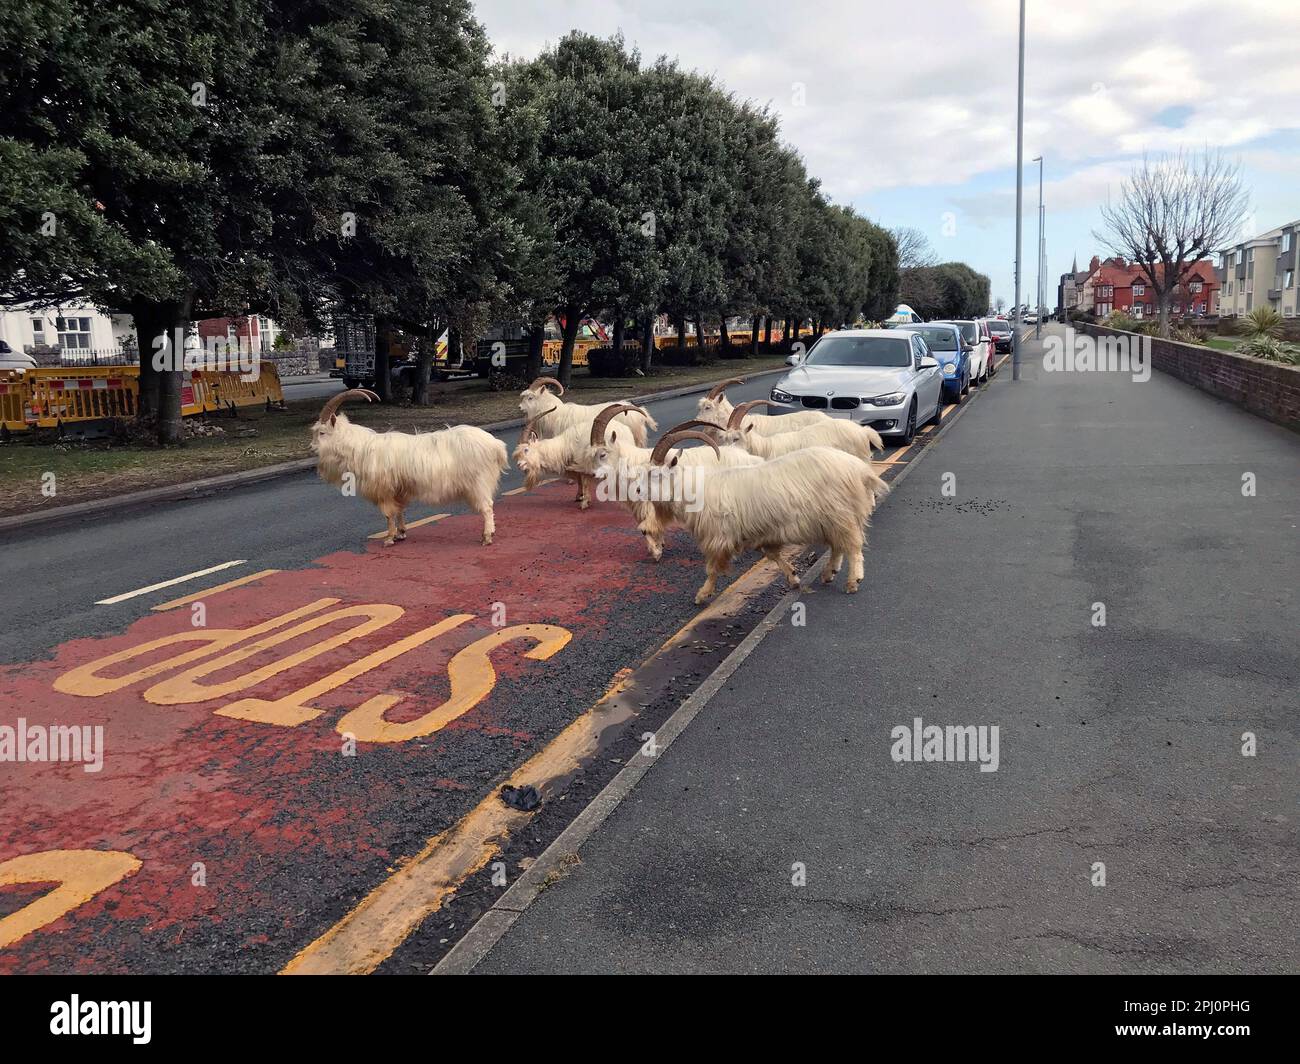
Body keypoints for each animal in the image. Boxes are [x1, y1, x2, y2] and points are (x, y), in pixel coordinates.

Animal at [312, 385, 509, 543]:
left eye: (322, 432)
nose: (312, 448)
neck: (361, 449)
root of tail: (496, 446)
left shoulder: (384, 490)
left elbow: (388, 514)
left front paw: (389, 539)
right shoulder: (399, 489)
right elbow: (399, 511)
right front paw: (401, 533)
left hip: (478, 483)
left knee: (487, 506)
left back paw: (487, 537)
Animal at [613, 424, 889, 606]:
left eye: (654, 474)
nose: (637, 490)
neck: (698, 489)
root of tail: (860, 470)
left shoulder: (719, 537)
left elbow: (712, 568)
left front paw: (702, 595)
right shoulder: (759, 532)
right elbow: (772, 555)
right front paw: (793, 578)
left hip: (840, 514)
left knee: (852, 546)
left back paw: (853, 581)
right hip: (833, 519)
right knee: (838, 546)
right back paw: (828, 573)